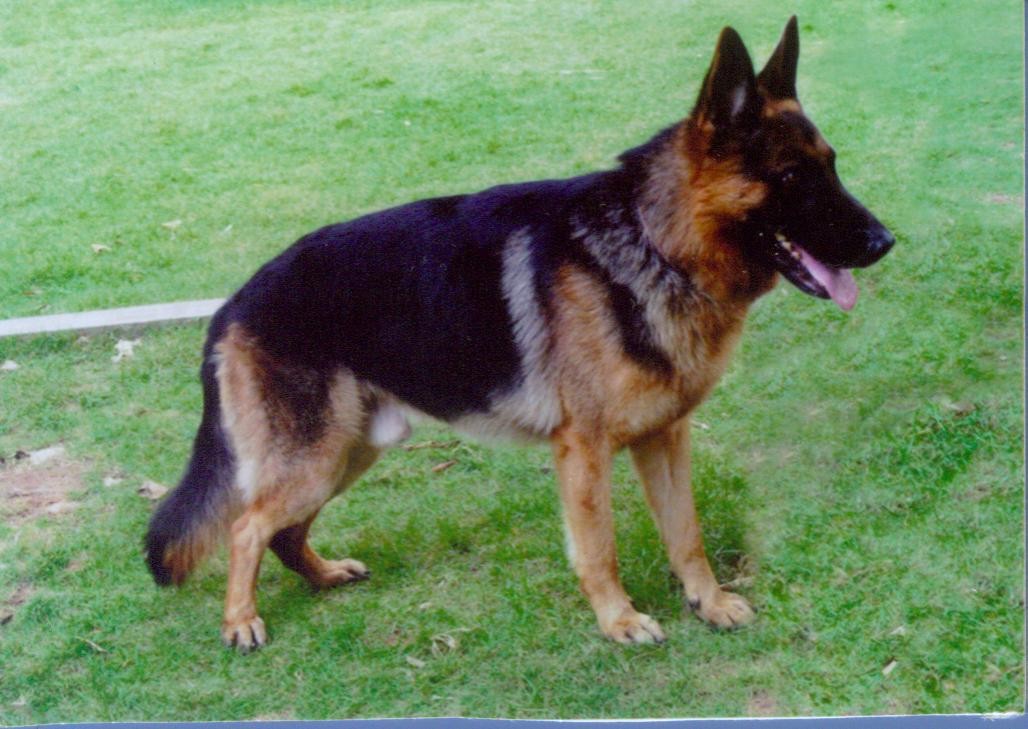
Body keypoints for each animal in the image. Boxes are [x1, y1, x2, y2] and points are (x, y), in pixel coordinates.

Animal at [145, 17, 893, 650]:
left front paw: (707, 602)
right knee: (246, 526)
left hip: (348, 451)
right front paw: (619, 620)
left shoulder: (665, 438)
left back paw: (324, 575)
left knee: (281, 530)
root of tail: (234, 303)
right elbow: (600, 548)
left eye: (832, 164)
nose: (885, 241)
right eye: (793, 176)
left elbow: (687, 534)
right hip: (316, 455)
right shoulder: (584, 452)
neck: (655, 244)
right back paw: (241, 620)